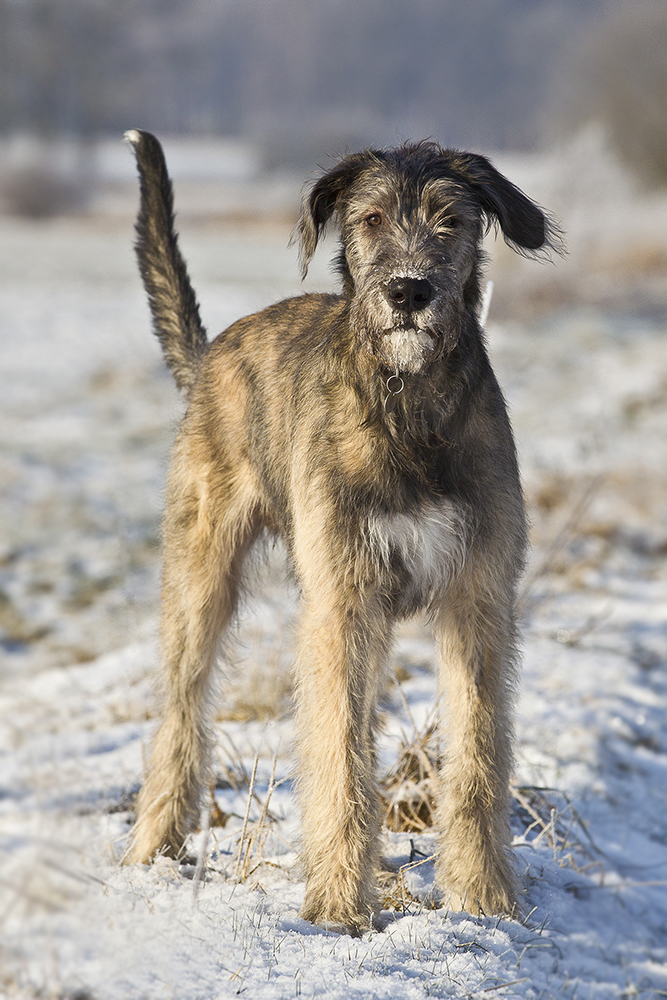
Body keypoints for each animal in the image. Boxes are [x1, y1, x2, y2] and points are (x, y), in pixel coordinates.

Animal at [124, 129, 560, 932]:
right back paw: (153, 845)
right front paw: (336, 906)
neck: (409, 406)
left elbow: (479, 754)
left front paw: (485, 897)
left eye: (450, 221)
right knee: (181, 710)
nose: (408, 293)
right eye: (369, 220)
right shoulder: (342, 604)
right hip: (199, 576)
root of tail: (213, 351)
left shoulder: (478, 601)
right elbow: (336, 754)